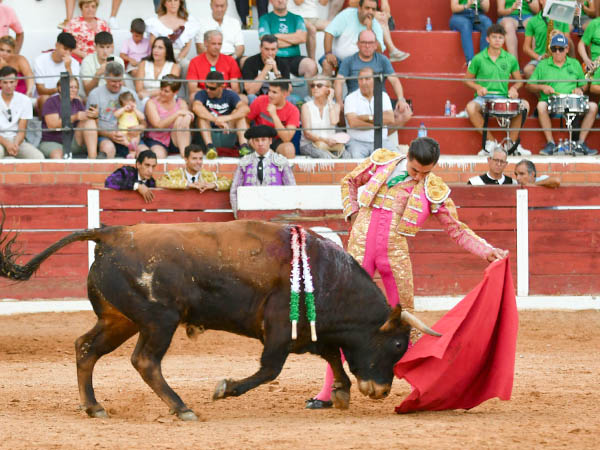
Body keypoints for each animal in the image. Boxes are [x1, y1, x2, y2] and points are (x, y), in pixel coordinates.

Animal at [0, 220, 436, 420]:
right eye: (398, 344)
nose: (380, 391)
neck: (326, 272)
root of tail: (113, 233)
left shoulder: (308, 328)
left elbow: (330, 352)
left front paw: (342, 391)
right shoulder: (280, 330)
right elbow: (271, 369)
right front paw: (225, 388)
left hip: (119, 320)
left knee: (85, 348)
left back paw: (94, 407)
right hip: (158, 320)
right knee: (145, 361)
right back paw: (182, 408)